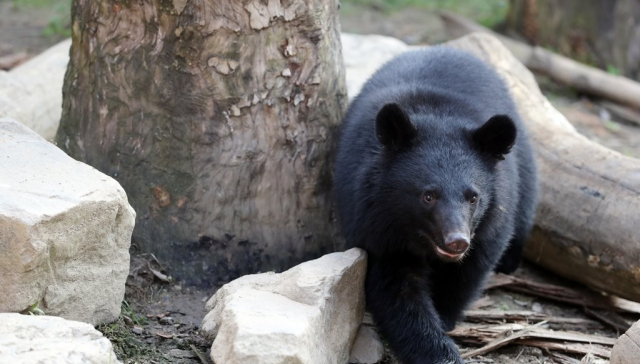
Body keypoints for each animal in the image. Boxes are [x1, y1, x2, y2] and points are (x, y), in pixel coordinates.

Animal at [332, 46, 536, 364]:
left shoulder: (492, 217)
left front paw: (445, 319)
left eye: (473, 197)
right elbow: (395, 286)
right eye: (428, 196)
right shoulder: (373, 218)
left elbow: (471, 269)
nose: (457, 241)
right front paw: (438, 351)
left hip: (523, 167)